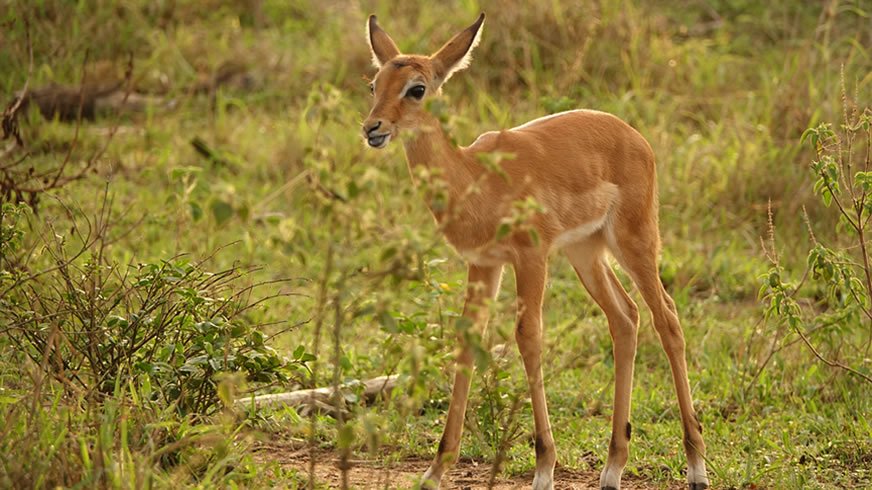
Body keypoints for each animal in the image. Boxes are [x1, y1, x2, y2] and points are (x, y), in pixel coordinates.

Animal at [362, 13, 709, 490]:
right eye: (374, 84)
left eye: (417, 87)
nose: (372, 129)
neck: (476, 179)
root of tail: (633, 135)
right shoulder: (483, 264)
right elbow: (467, 341)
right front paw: (436, 469)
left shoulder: (531, 258)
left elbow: (529, 338)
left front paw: (544, 467)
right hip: (586, 253)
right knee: (626, 318)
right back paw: (612, 467)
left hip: (634, 241)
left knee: (668, 318)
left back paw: (696, 467)